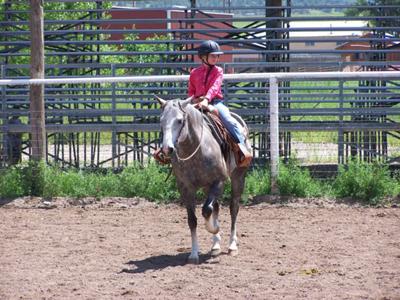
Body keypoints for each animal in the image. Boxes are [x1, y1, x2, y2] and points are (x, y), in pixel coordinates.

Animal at [155, 95, 252, 262]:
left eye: (179, 120)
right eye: (161, 120)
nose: (167, 149)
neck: (196, 148)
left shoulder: (219, 181)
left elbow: (206, 210)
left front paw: (215, 229)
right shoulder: (185, 188)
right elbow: (192, 219)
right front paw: (194, 253)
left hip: (238, 177)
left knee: (233, 208)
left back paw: (232, 245)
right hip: (208, 186)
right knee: (217, 207)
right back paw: (215, 246)